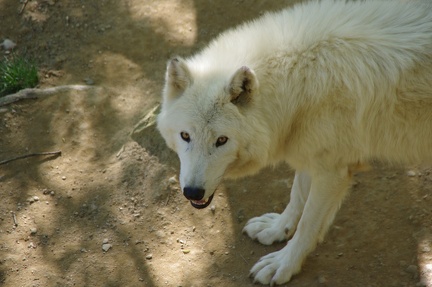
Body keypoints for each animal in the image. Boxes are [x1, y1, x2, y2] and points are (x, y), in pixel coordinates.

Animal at [157, 0, 432, 286]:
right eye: (185, 136)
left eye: (221, 140)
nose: (192, 192)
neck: (301, 81)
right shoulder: (310, 155)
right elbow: (296, 196)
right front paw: (277, 229)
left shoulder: (333, 172)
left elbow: (308, 224)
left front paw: (283, 264)